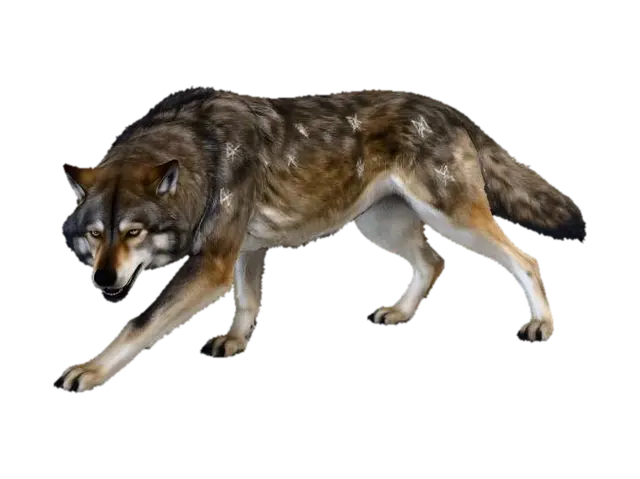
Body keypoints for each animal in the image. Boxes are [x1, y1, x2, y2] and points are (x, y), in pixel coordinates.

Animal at [59, 87, 586, 393]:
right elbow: (248, 300)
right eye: (95, 234)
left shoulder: (211, 262)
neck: (201, 152)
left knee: (523, 258)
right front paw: (236, 340)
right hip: (382, 225)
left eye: (134, 232)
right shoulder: (244, 249)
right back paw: (400, 312)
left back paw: (542, 322)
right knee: (433, 261)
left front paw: (92, 370)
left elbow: (140, 323)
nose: (103, 280)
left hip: (454, 219)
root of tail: (446, 110)